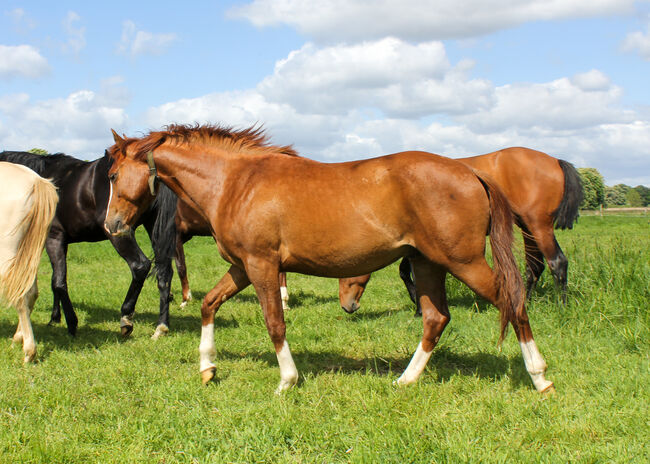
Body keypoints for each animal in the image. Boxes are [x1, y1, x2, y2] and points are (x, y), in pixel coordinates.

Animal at [0, 151, 176, 338]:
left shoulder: (53, 239)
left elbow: (58, 282)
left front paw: (71, 323)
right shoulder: (62, 242)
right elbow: (56, 280)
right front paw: (55, 318)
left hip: (118, 232)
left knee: (140, 266)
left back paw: (126, 317)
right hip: (155, 229)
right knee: (164, 274)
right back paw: (161, 325)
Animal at [340, 148, 584, 316]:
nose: (347, 305)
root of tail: (555, 160)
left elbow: (407, 274)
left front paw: (419, 308)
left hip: (539, 226)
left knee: (557, 263)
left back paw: (561, 307)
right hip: (528, 229)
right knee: (535, 267)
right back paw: (527, 303)